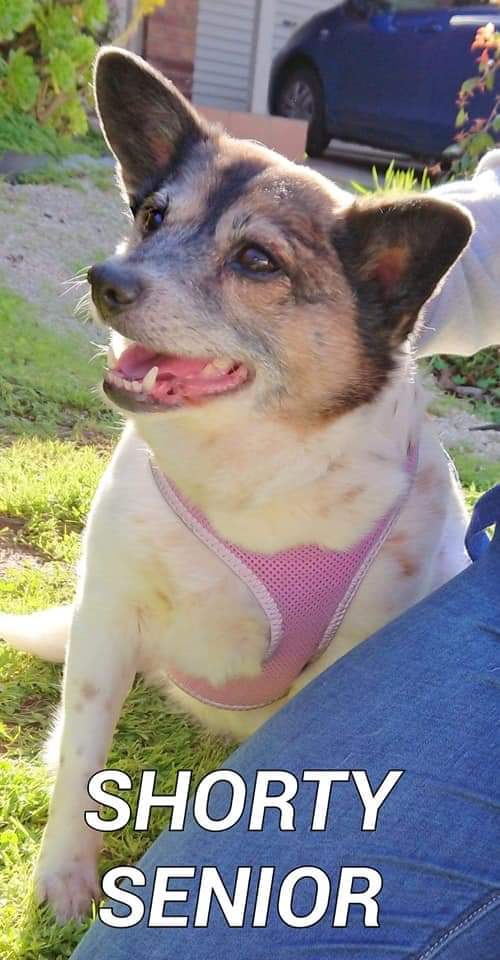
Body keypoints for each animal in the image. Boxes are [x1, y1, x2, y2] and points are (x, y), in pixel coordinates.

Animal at [0, 47, 473, 921]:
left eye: (257, 260)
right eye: (153, 216)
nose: (105, 279)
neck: (247, 473)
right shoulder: (108, 614)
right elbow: (85, 759)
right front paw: (64, 876)